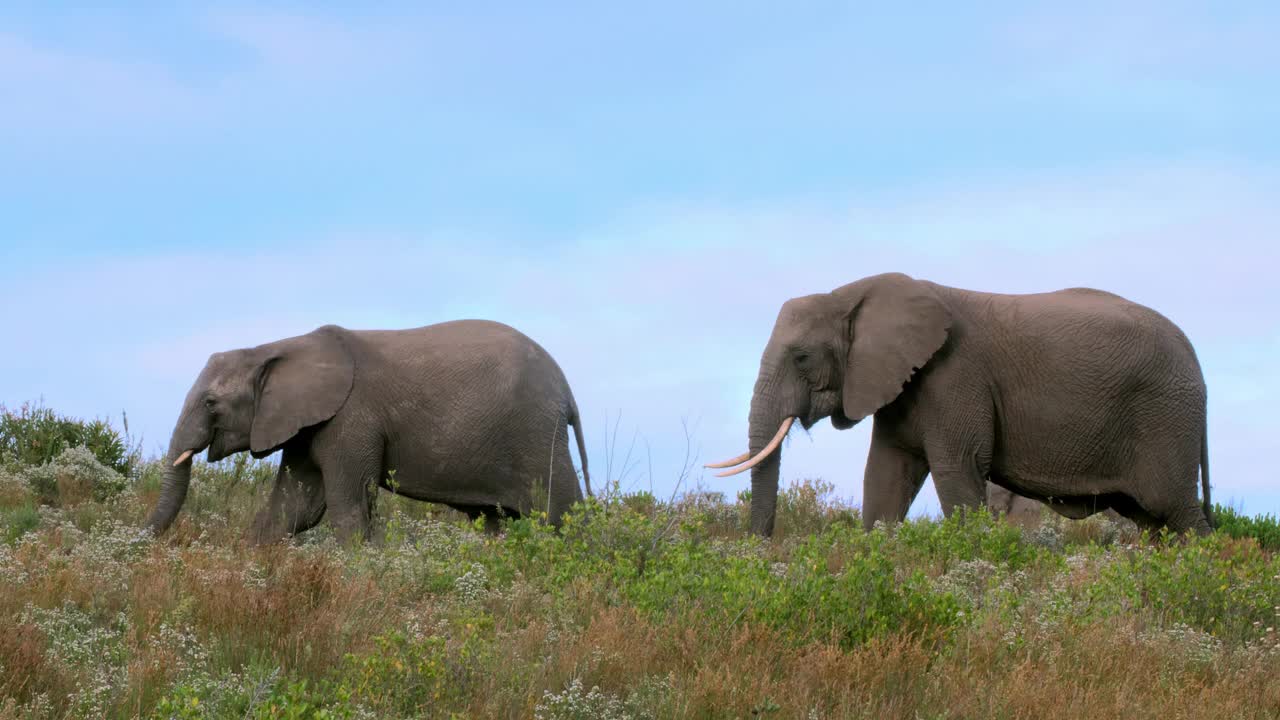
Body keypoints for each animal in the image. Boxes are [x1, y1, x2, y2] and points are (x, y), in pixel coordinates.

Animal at [145, 316, 588, 540]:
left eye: (210, 403)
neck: (277, 347)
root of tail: (567, 390)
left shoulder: (350, 419)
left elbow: (347, 506)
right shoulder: (308, 426)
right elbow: (293, 508)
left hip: (536, 435)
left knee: (562, 513)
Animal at [711, 271, 1208, 535]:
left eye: (801, 357)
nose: (760, 551)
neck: (852, 294)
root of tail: (1193, 352)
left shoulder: (955, 377)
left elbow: (959, 469)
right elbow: (885, 474)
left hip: (1166, 416)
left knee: (1178, 512)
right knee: (1152, 521)